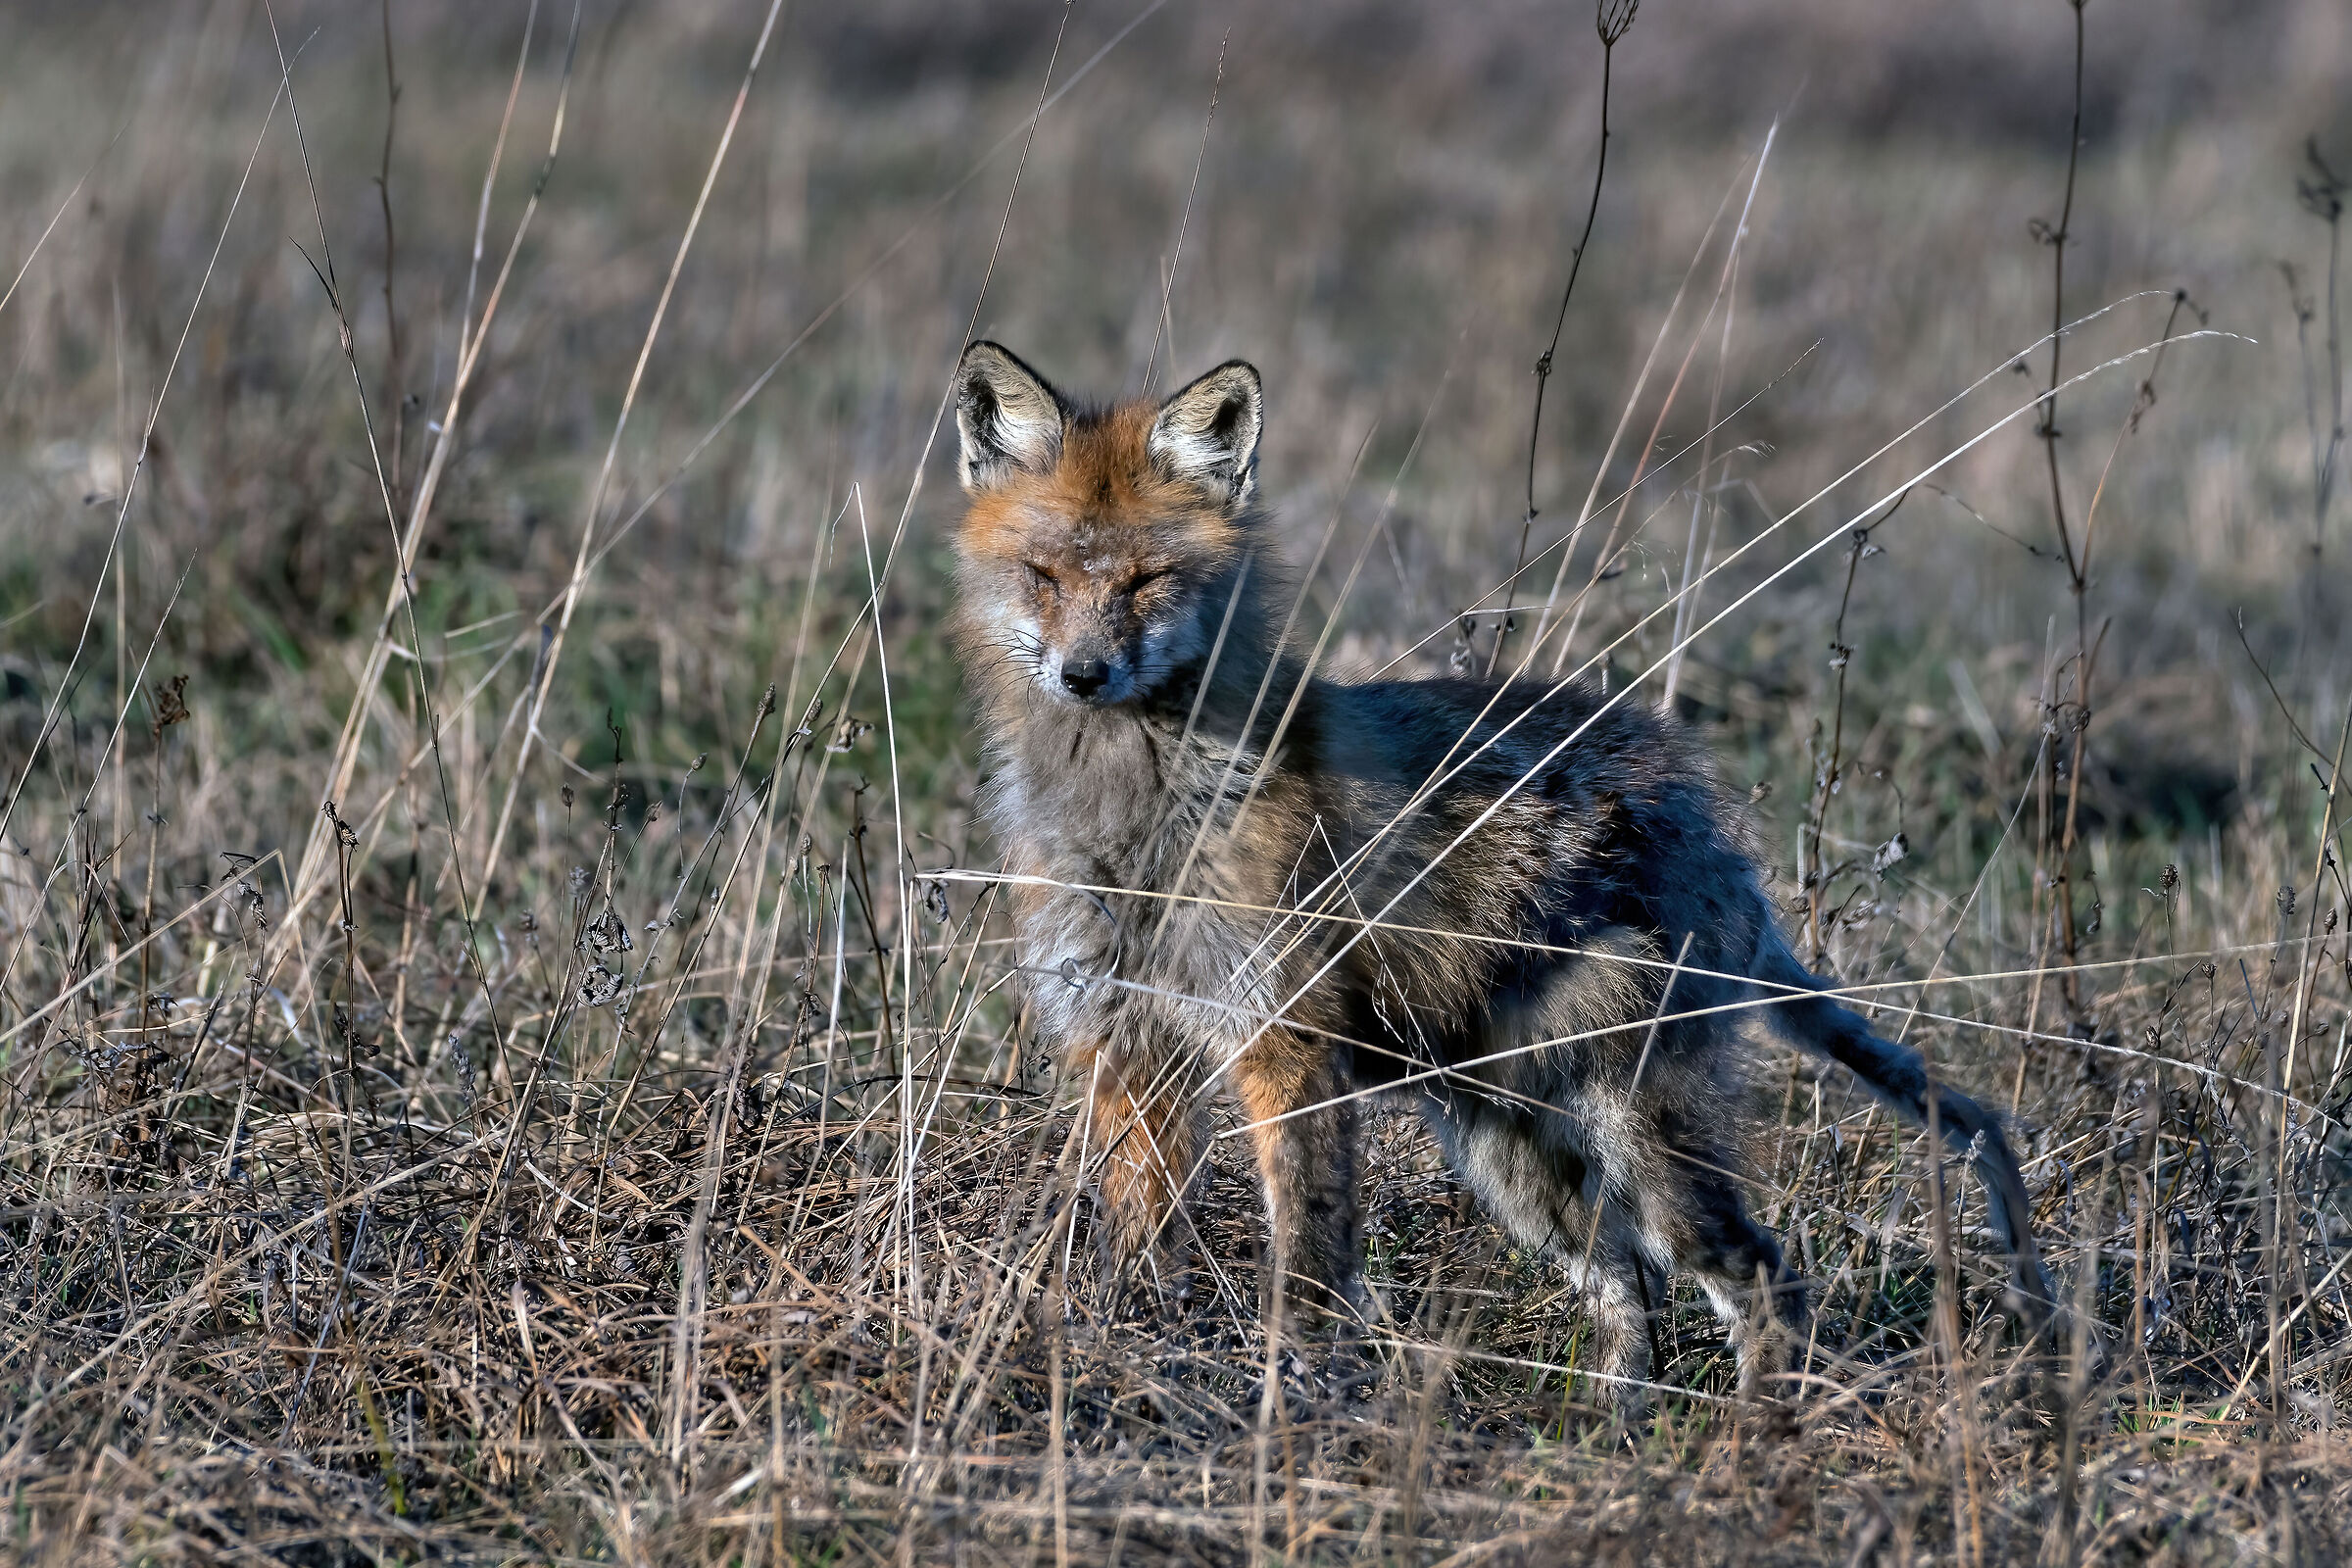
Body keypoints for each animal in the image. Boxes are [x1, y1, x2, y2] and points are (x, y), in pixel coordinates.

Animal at [945, 340, 2056, 1418]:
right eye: (1042, 574)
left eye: (1146, 580)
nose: (1083, 676)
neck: (1133, 825)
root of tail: (1710, 818)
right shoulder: (1124, 1041)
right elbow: (1139, 1251)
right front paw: (1132, 1360)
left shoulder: (1283, 1041)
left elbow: (1305, 1272)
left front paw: (1288, 1414)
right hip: (1509, 1153)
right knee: (1628, 1292)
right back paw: (1611, 1443)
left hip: (1637, 1144)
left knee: (1761, 1276)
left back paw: (1749, 1445)